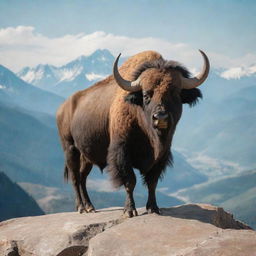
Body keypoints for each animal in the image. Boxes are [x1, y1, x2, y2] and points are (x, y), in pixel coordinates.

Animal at [56, 49, 210, 216]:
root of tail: (63, 108)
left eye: (175, 93)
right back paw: (82, 208)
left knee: (83, 177)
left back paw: (90, 207)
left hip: (86, 156)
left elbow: (152, 182)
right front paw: (130, 211)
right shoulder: (122, 153)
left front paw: (153, 208)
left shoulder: (161, 156)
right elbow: (130, 181)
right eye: (146, 95)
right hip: (70, 149)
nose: (160, 117)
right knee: (75, 178)